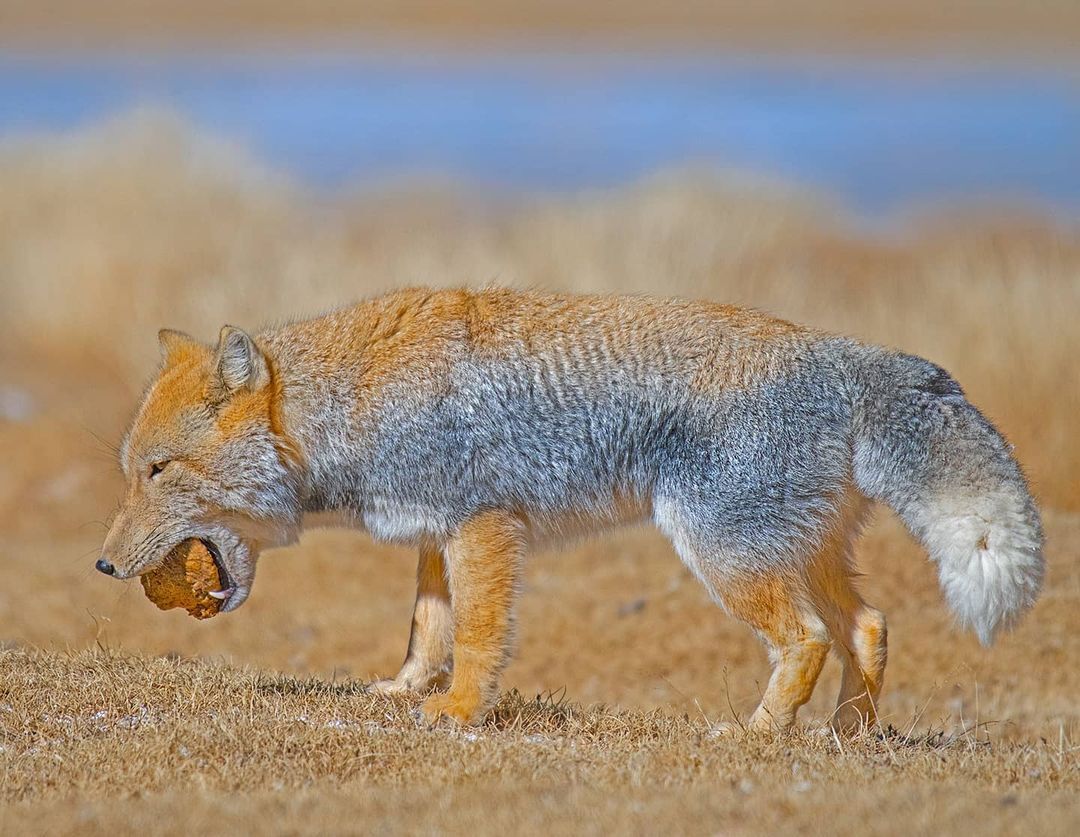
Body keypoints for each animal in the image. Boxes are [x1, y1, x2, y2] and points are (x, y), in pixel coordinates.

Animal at [97, 287, 1041, 734]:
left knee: (808, 639)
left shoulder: (482, 525)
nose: (103, 564)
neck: (356, 396)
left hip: (726, 556)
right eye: (131, 473)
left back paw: (757, 735)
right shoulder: (438, 532)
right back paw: (846, 735)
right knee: (869, 627)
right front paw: (407, 690)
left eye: (158, 471)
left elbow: (478, 635)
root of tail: (846, 354)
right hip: (796, 554)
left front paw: (460, 713)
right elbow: (426, 627)